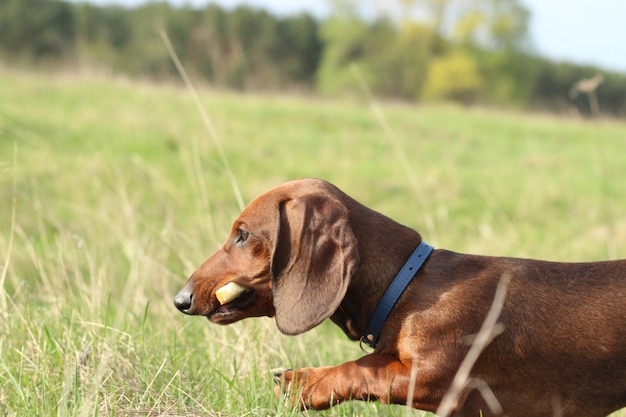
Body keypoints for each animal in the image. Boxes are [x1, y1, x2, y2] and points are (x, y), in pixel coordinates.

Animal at [173, 177, 624, 414]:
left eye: (243, 234)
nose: (181, 299)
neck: (407, 285)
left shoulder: (436, 379)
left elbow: (362, 368)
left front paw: (305, 382)